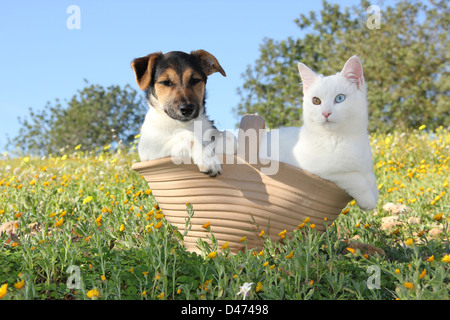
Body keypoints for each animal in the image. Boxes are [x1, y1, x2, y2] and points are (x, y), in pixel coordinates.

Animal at [131, 49, 234, 178]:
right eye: (165, 82)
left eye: (195, 80)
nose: (187, 109)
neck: (186, 124)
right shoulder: (149, 150)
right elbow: (188, 136)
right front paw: (208, 159)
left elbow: (227, 135)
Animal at [258, 56, 378, 211]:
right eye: (316, 101)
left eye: (340, 98)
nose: (326, 113)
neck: (341, 137)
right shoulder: (320, 170)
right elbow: (354, 177)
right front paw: (368, 200)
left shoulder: (365, 164)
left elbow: (370, 176)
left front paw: (374, 191)